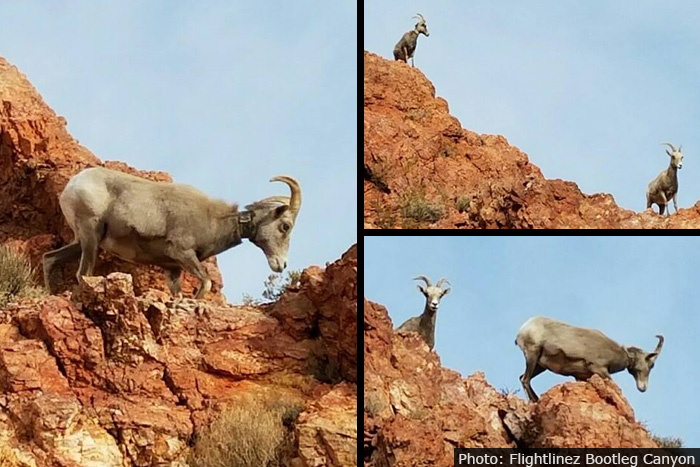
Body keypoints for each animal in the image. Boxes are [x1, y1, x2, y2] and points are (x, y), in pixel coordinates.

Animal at [43, 167, 301, 299]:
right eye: (285, 226)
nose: (281, 265)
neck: (213, 220)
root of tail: (74, 183)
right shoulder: (183, 253)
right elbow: (206, 284)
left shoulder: (173, 269)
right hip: (90, 237)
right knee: (83, 274)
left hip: (81, 241)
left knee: (49, 259)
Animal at [515, 316, 663, 402]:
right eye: (650, 364)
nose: (643, 388)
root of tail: (523, 329)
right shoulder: (600, 370)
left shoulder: (582, 377)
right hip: (532, 355)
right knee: (525, 379)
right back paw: (534, 401)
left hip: (540, 366)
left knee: (523, 378)